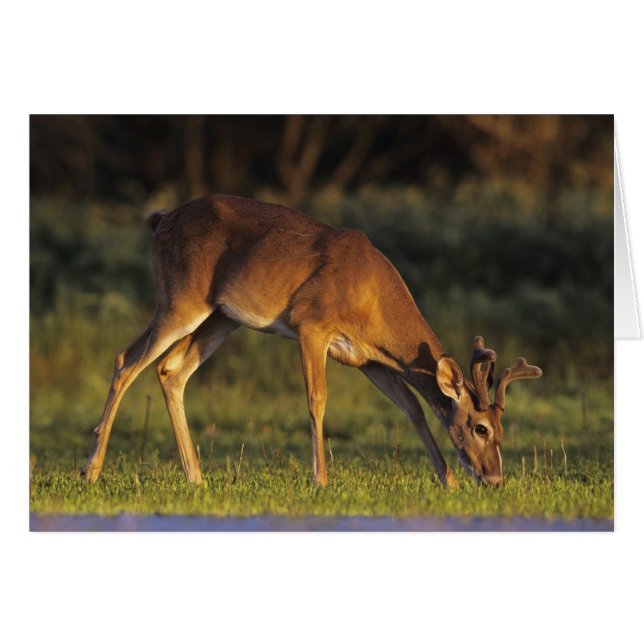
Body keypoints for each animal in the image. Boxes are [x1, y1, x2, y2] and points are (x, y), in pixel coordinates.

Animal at [82, 194, 542, 488]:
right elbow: (317, 401)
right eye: (481, 428)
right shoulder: (311, 326)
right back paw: (91, 470)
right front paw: (321, 480)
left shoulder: (367, 358)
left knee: (170, 370)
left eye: (503, 430)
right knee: (126, 361)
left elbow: (412, 407)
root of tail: (161, 219)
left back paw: (196, 478)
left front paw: (447, 479)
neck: (372, 297)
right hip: (180, 298)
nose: (495, 479)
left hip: (222, 317)